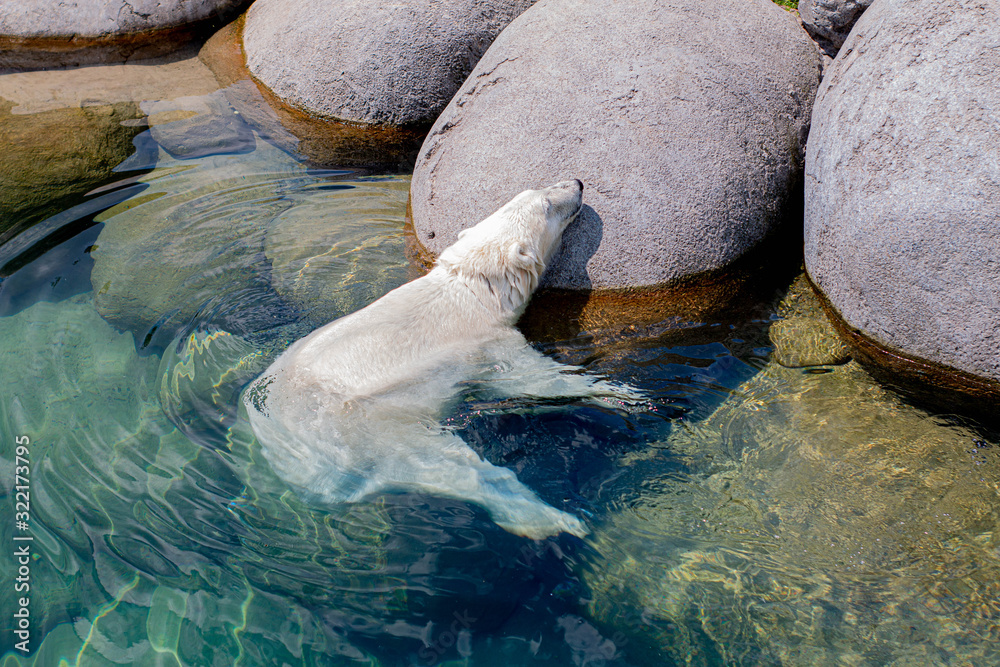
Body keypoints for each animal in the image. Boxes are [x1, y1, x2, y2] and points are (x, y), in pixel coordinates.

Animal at [242, 180, 642, 539]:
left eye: (534, 189)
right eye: (546, 204)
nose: (577, 183)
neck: (473, 286)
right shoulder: (488, 341)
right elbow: (535, 379)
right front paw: (624, 394)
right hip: (373, 434)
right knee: (450, 467)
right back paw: (556, 520)